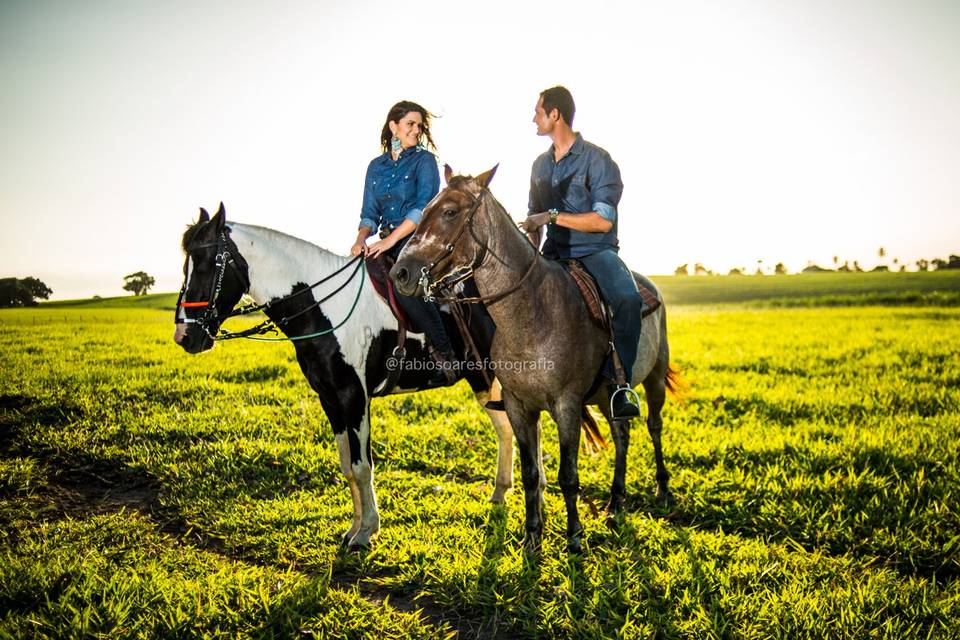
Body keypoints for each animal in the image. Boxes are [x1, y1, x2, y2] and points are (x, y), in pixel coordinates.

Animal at [390, 168, 684, 552]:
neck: (532, 313)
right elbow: (531, 473)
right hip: (608, 394)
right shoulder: (518, 406)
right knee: (622, 433)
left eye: (451, 212)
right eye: (425, 210)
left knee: (653, 425)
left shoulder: (567, 405)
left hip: (654, 378)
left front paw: (574, 537)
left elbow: (568, 475)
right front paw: (532, 537)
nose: (401, 273)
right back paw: (616, 501)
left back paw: (662, 489)